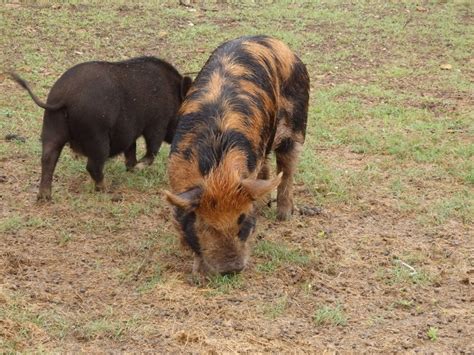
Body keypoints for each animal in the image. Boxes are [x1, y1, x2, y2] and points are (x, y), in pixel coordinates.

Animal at [165, 35, 310, 276]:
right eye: (205, 225)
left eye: (242, 221)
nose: (230, 269)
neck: (217, 170)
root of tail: (273, 41)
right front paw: (197, 272)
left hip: (296, 125)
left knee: (287, 168)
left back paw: (284, 215)